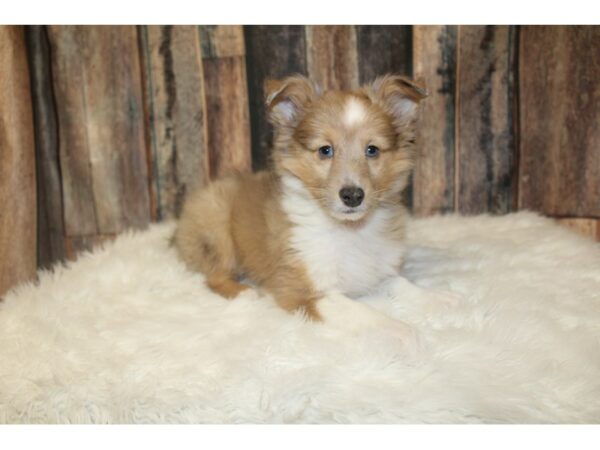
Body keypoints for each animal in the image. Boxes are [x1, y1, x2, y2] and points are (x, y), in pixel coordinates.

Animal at [172, 74, 426, 344]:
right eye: (325, 150)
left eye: (372, 150)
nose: (352, 196)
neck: (350, 230)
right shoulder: (301, 290)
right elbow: (361, 311)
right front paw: (404, 331)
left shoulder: (377, 270)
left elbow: (402, 284)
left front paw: (440, 301)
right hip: (216, 227)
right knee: (213, 276)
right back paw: (245, 293)